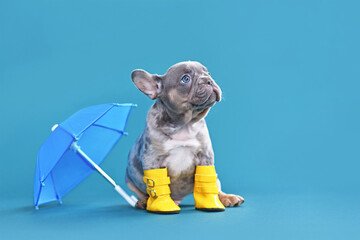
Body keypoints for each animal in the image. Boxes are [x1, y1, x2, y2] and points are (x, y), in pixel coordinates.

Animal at [124, 61, 245, 208]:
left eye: (208, 73)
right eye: (186, 79)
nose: (209, 80)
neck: (185, 126)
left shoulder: (206, 156)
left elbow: (208, 182)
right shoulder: (152, 159)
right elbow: (156, 184)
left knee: (215, 186)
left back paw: (227, 198)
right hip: (129, 181)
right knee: (142, 193)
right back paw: (143, 202)